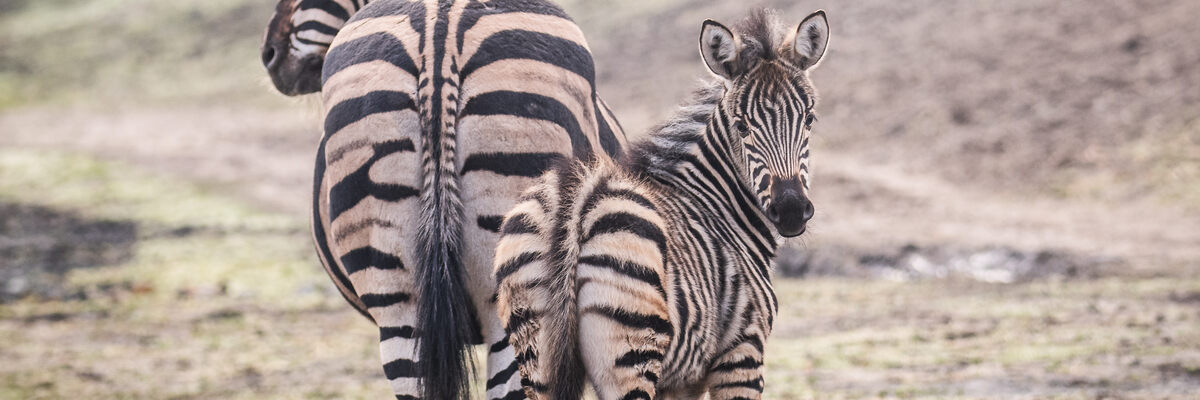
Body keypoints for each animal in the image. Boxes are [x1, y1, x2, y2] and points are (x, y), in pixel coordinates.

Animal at [494, 8, 829, 400]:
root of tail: (574, 198)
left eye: (809, 119)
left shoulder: (681, 379)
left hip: (536, 350)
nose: (790, 211)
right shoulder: (742, 351)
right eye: (742, 127)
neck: (719, 209)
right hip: (630, 345)